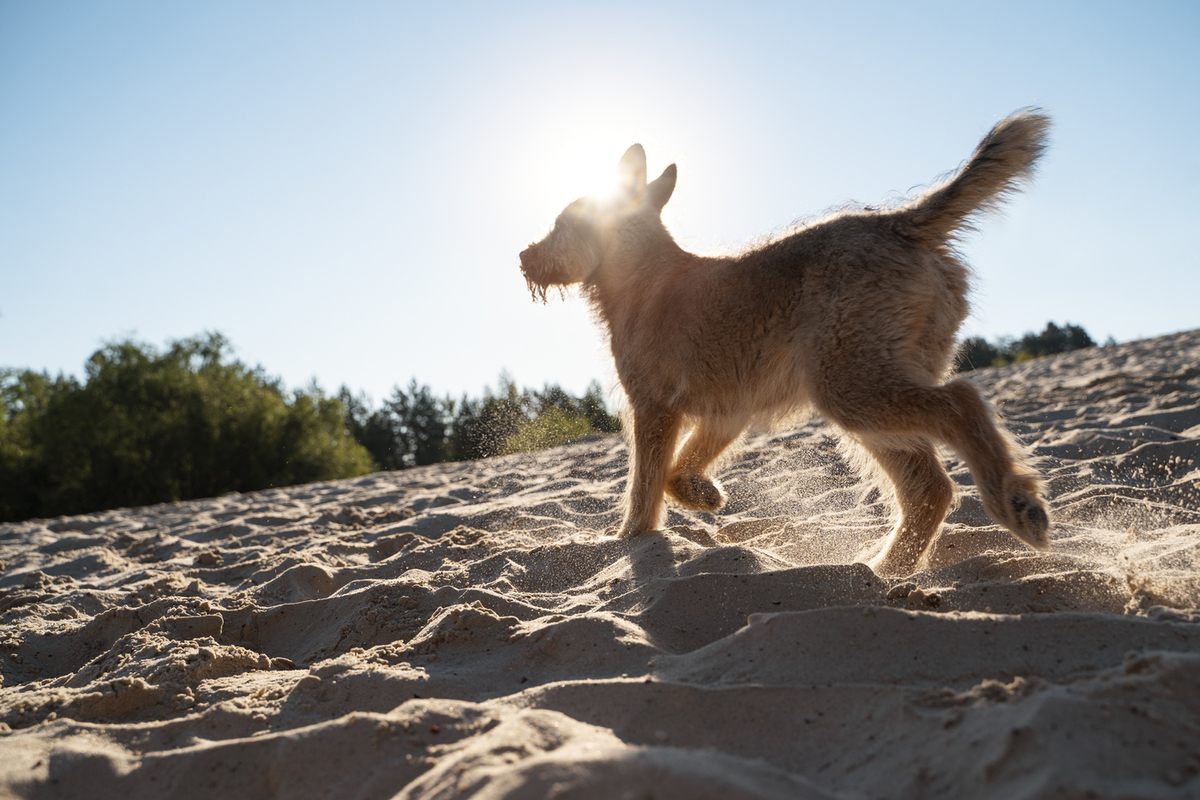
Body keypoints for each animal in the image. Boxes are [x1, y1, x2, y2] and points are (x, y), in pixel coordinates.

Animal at [516, 110, 1051, 575]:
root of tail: (898, 221)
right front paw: (700, 493)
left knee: (960, 403)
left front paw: (630, 540)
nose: (524, 256)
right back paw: (884, 569)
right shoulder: (724, 414)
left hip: (850, 388)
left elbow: (644, 487)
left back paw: (1013, 502)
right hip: (871, 391)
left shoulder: (653, 409)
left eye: (562, 225)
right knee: (929, 489)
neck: (640, 273)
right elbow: (676, 469)